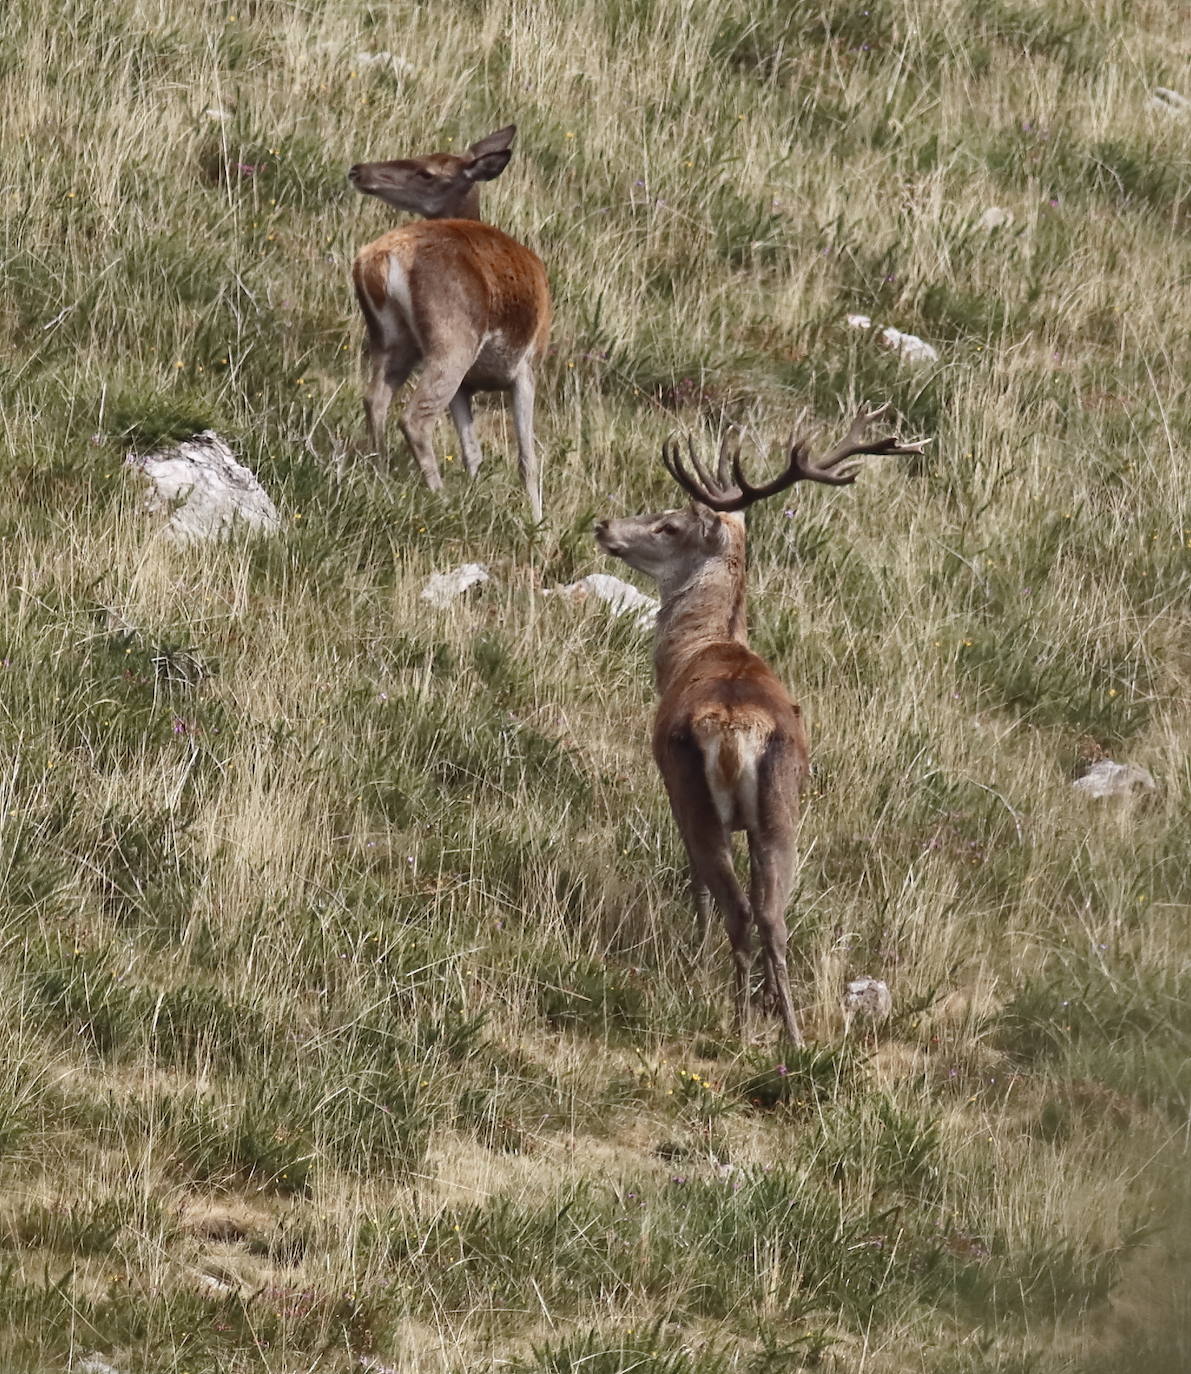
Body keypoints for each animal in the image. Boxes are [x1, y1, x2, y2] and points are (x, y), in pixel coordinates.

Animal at [344, 126, 549, 519]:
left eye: (426, 171)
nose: (358, 170)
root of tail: (380, 258)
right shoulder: (526, 367)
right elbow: (527, 458)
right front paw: (537, 520)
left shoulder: (467, 385)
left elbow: (473, 452)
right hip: (452, 340)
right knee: (414, 418)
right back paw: (439, 495)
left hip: (392, 339)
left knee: (374, 399)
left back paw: (381, 475)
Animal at [593, 403, 923, 1038]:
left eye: (669, 524)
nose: (603, 525)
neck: (700, 649)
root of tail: (732, 729)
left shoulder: (671, 787)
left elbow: (695, 882)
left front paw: (697, 955)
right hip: (781, 801)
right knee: (774, 913)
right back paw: (788, 1029)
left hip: (695, 791)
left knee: (739, 904)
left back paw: (737, 1015)